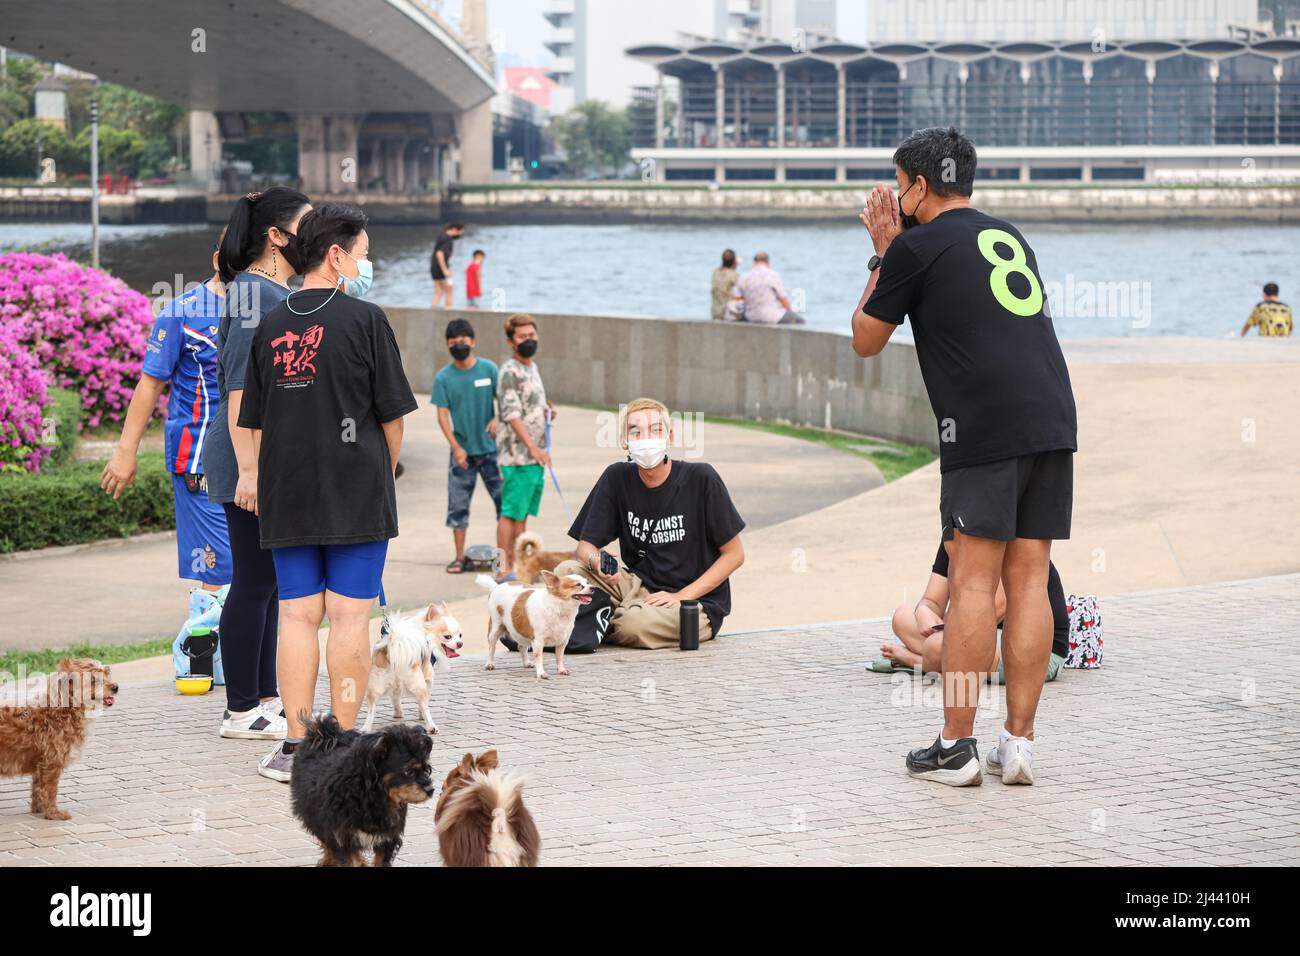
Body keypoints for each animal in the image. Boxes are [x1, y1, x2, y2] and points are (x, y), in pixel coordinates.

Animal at [0, 658, 117, 822]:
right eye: (94, 680)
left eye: (107, 674)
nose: (116, 687)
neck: (61, 712)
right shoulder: (51, 763)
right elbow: (50, 790)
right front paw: (53, 813)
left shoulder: (40, 765)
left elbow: (38, 788)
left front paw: (39, 809)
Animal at [289, 717, 436, 868]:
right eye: (408, 771)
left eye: (426, 768)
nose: (431, 790)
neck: (371, 796)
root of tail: (325, 734)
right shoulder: (343, 837)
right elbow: (348, 857)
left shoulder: (387, 838)